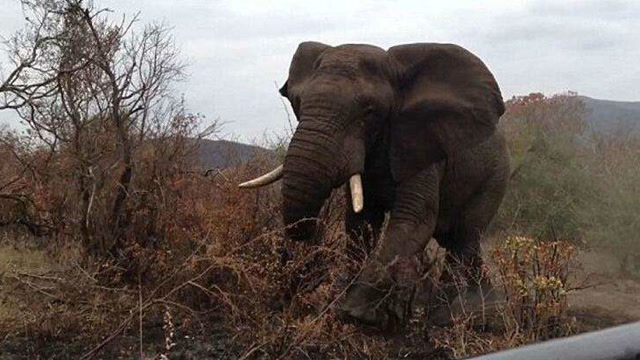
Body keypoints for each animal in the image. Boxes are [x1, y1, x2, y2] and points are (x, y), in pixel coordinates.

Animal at [240, 40, 510, 328]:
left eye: (369, 112)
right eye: (299, 103)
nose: (303, 240)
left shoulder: (422, 145)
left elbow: (413, 220)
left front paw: (355, 312)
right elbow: (361, 221)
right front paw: (345, 308)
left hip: (494, 179)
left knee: (465, 237)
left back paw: (449, 317)